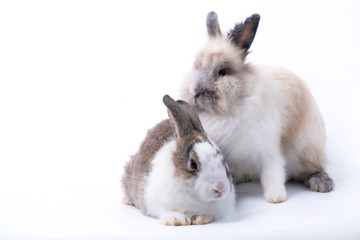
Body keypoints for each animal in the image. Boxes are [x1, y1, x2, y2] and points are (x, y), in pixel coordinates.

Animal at [180, 12, 334, 203]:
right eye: (196, 67)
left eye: (223, 72)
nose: (194, 93)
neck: (227, 111)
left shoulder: (268, 148)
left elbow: (272, 172)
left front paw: (276, 197)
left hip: (309, 148)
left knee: (314, 168)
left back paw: (321, 183)